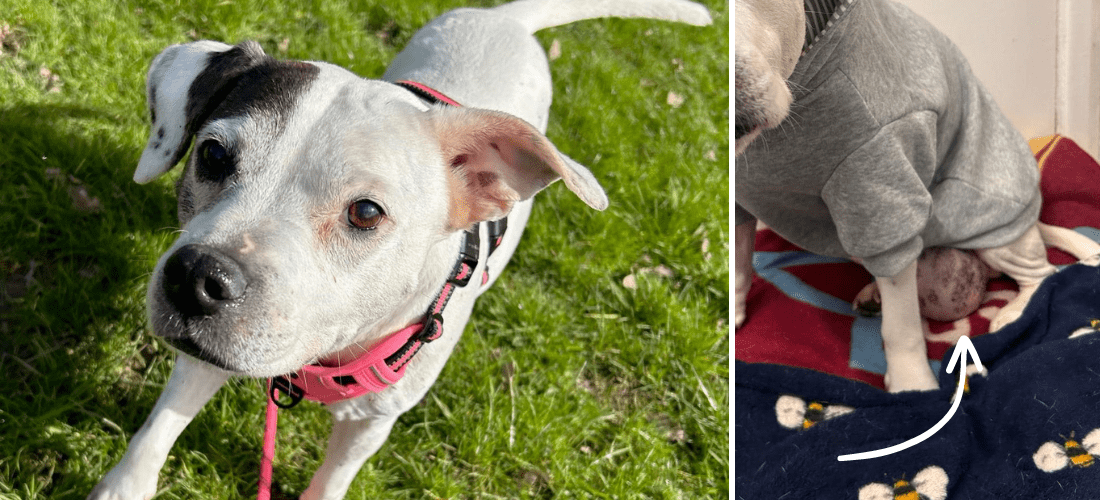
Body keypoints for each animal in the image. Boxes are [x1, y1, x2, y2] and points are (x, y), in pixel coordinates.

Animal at [88, 1, 712, 498]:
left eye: (365, 213)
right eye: (213, 155)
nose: (196, 277)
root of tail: (507, 19)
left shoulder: (370, 424)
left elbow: (332, 479)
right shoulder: (204, 353)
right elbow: (160, 426)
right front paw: (124, 487)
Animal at [734, 0, 1069, 393]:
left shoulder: (878, 192)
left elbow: (902, 327)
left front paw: (913, 386)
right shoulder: (740, 205)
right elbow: (738, 267)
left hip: (992, 228)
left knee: (1045, 273)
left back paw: (1016, 312)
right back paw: (873, 295)